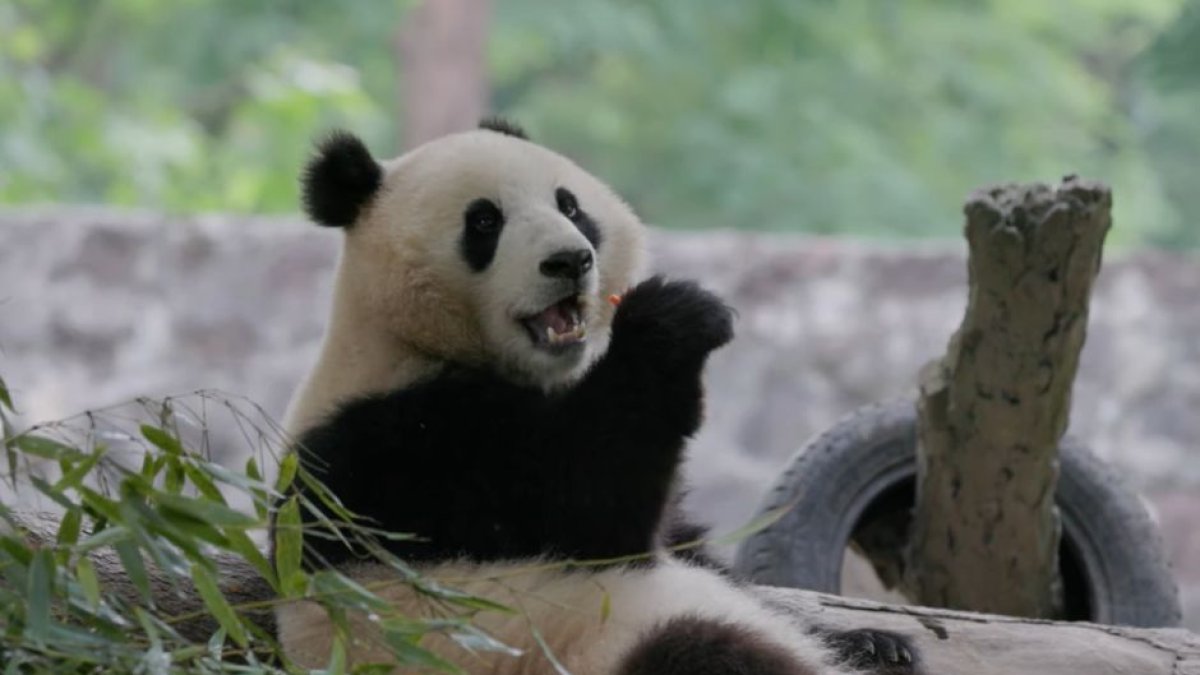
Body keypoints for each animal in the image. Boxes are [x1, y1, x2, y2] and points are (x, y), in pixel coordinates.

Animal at [272, 119, 920, 675]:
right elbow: (588, 509)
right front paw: (672, 320)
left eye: (569, 205)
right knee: (702, 650)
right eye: (483, 223)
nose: (570, 260)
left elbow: (691, 548)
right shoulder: (400, 444)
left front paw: (871, 640)